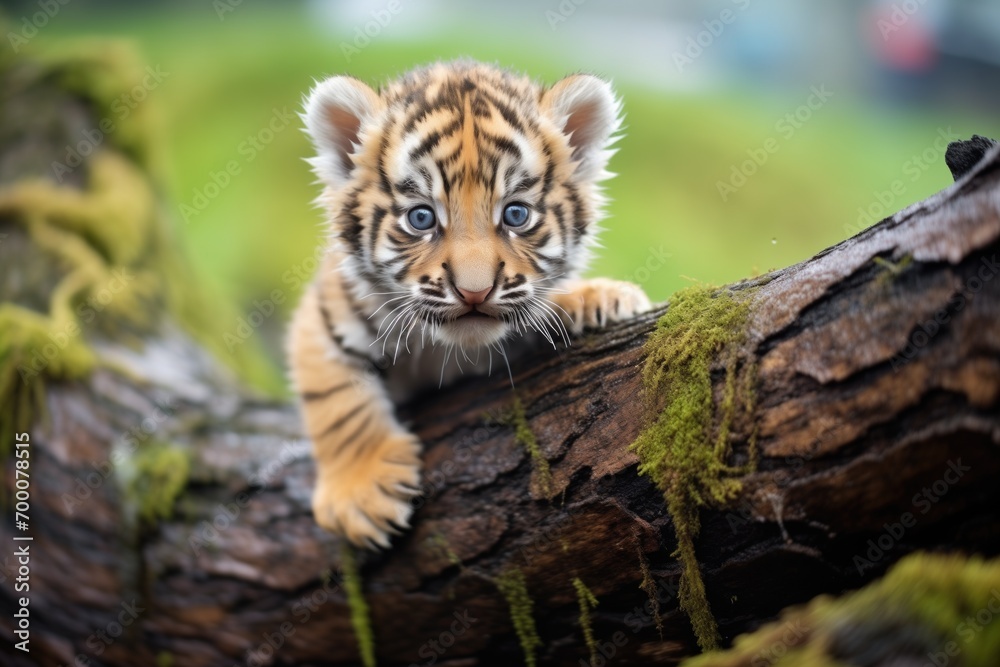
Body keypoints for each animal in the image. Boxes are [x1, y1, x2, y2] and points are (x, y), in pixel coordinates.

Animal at [287, 60, 651, 549]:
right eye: (421, 218)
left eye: (516, 214)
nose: (474, 291)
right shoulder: (325, 315)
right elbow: (338, 402)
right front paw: (362, 497)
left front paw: (600, 296)